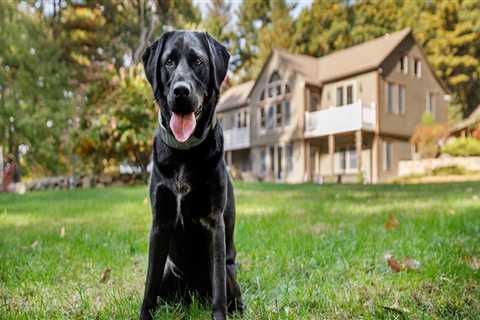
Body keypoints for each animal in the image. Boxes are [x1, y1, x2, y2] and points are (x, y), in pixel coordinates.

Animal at [139, 30, 244, 320]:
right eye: (169, 62)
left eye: (198, 61)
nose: (181, 91)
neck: (184, 154)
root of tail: (192, 295)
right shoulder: (159, 223)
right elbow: (149, 285)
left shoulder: (214, 222)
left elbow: (218, 290)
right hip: (170, 272)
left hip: (230, 276)